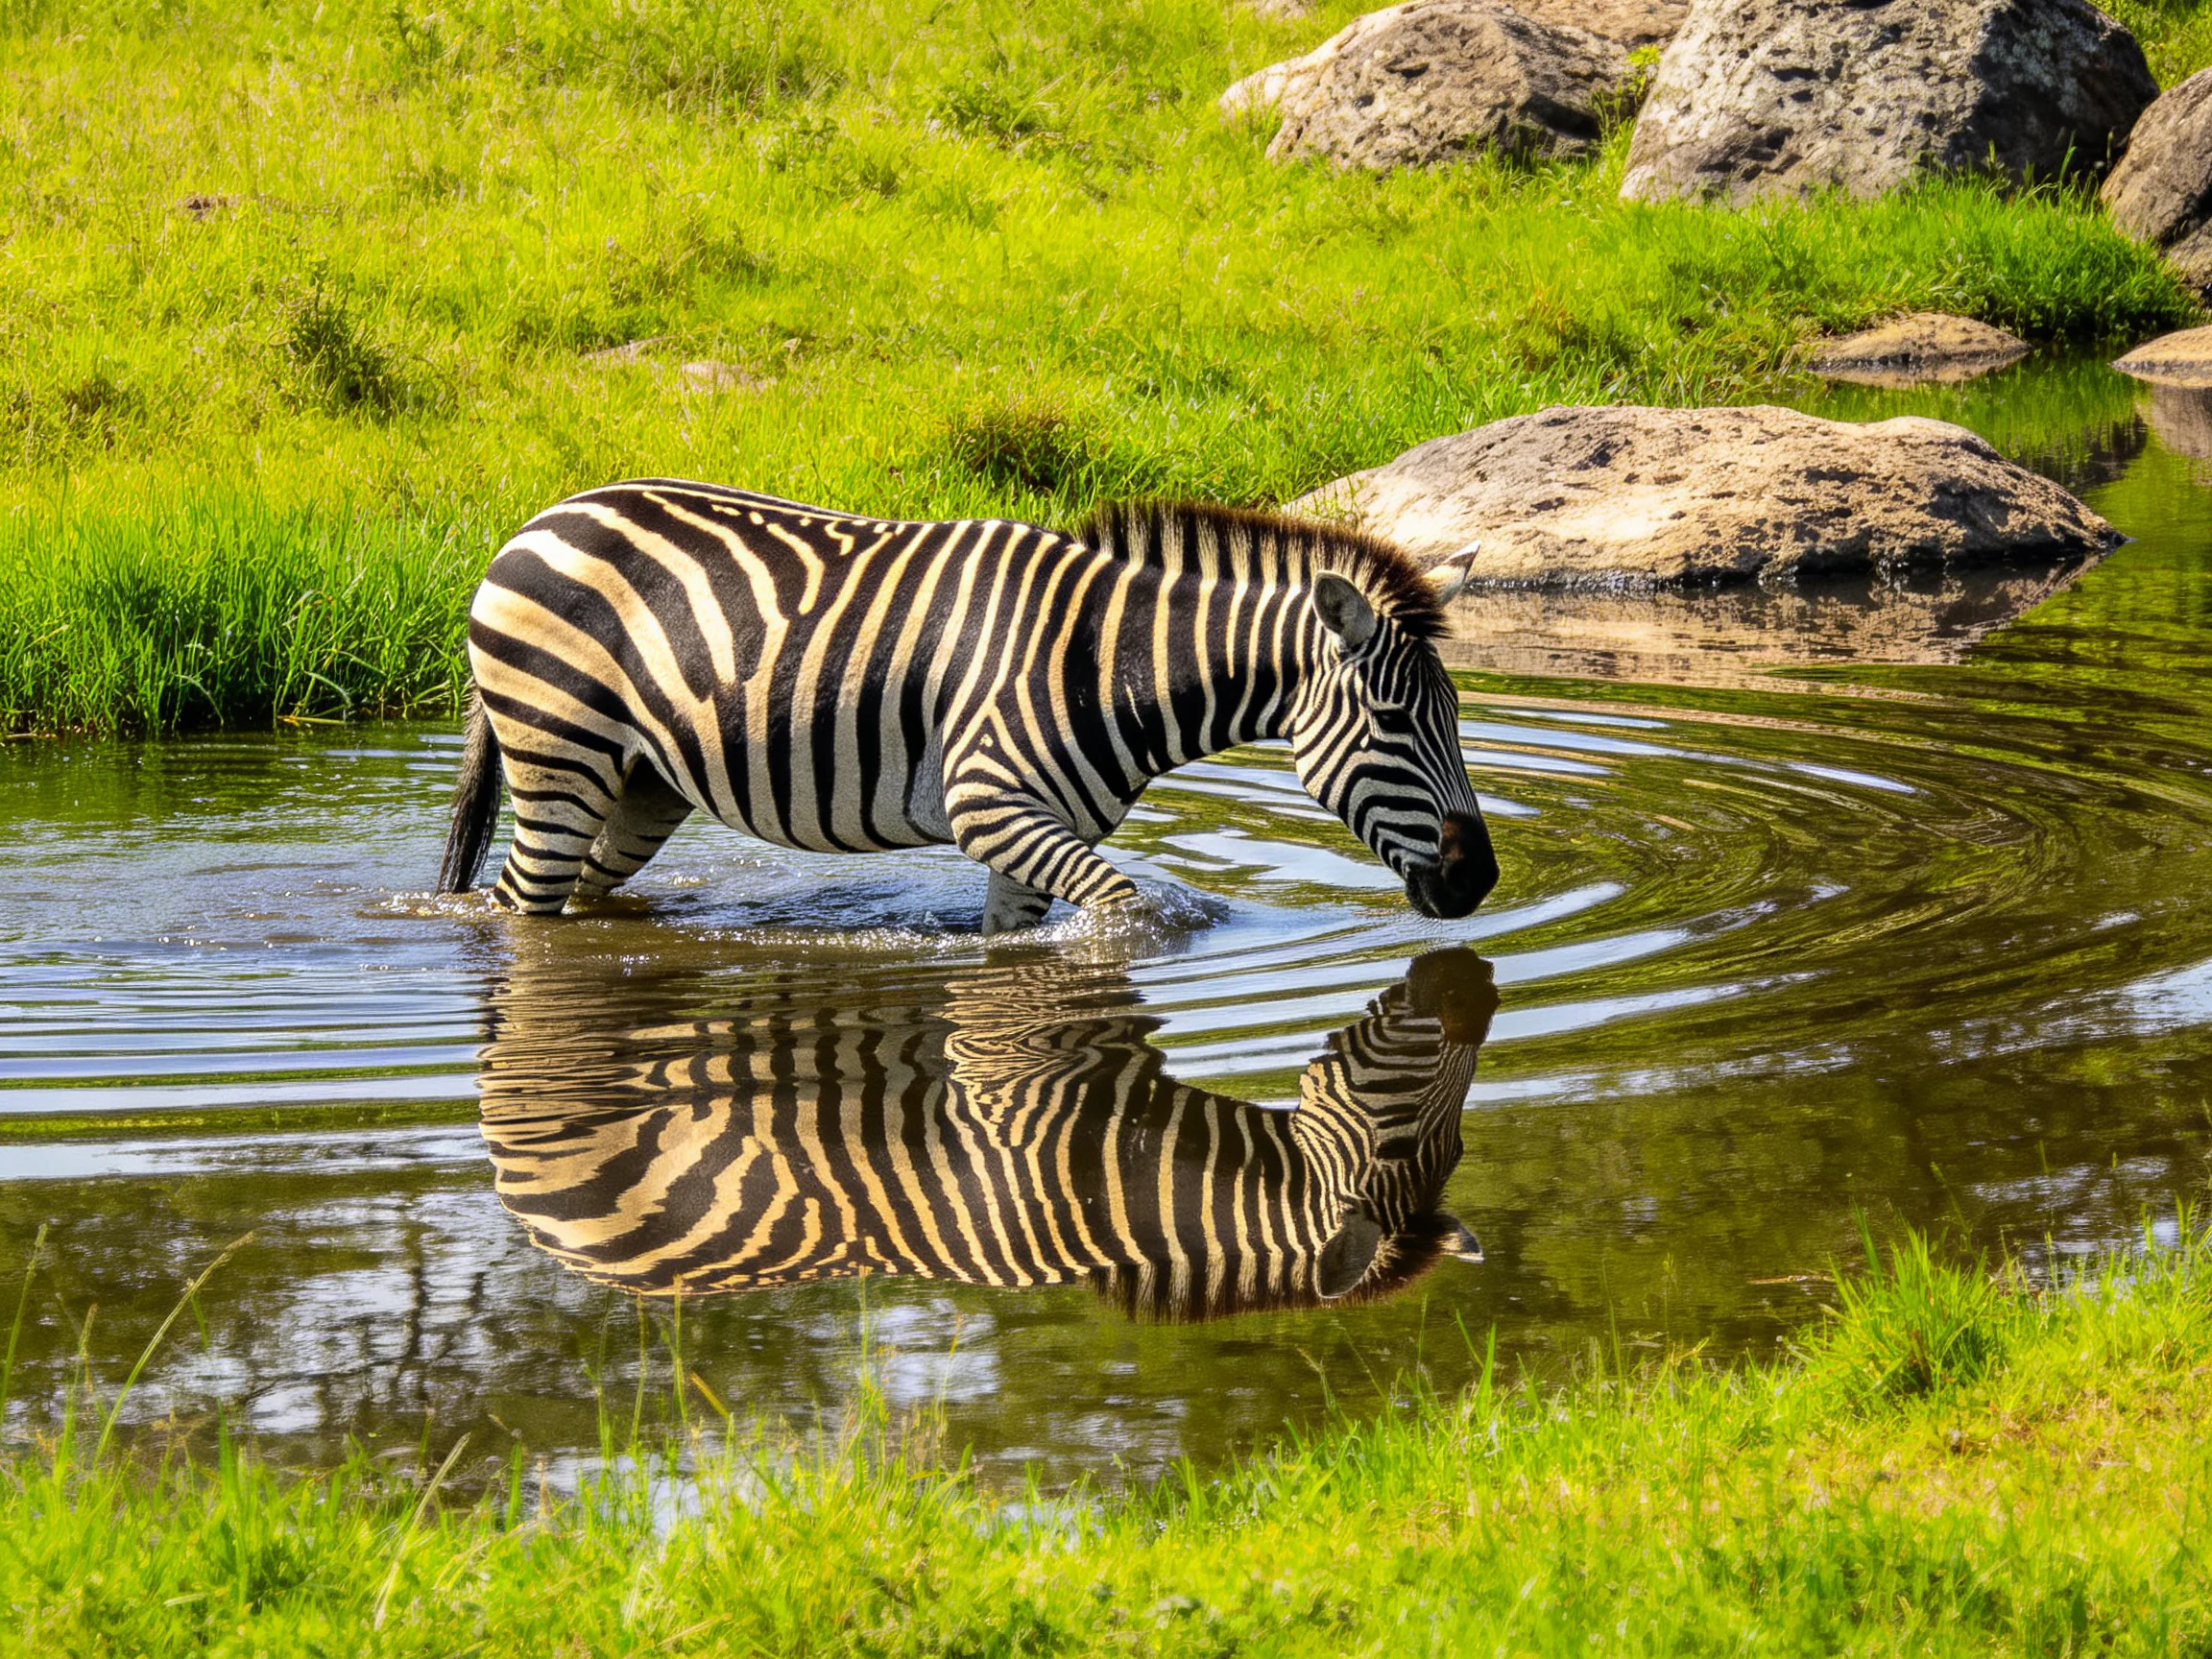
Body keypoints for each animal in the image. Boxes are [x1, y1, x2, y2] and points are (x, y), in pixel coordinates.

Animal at [438, 482, 1499, 932]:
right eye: (1396, 725)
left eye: (1455, 722)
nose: (1480, 881)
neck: (1109, 662)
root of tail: (536, 519)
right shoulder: (991, 804)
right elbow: (1126, 912)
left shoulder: (1030, 831)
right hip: (560, 757)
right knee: (517, 910)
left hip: (640, 784)